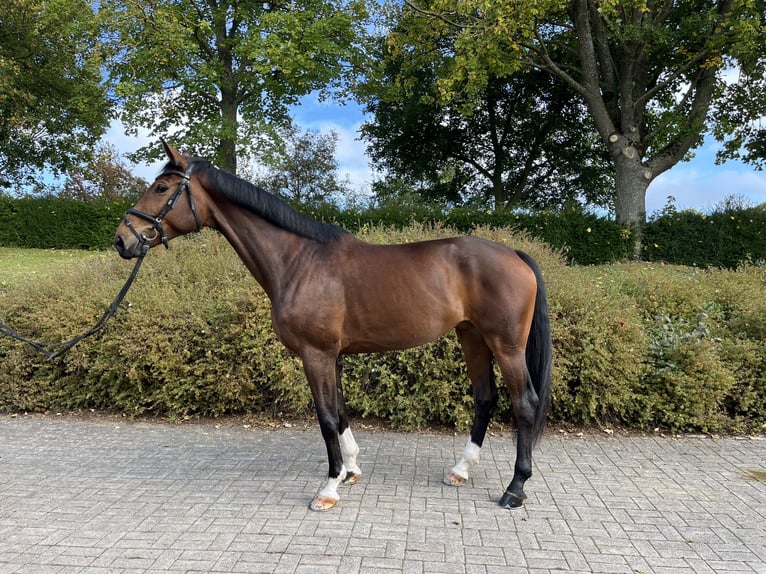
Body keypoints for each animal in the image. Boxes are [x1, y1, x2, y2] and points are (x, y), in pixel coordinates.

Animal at [114, 142, 552, 516]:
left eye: (161, 187)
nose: (122, 241)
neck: (299, 261)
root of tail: (514, 254)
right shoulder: (333, 357)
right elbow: (340, 412)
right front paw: (350, 470)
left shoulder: (316, 355)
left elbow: (325, 418)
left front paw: (327, 489)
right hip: (471, 336)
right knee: (485, 397)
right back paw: (460, 470)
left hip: (506, 345)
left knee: (525, 403)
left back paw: (515, 489)